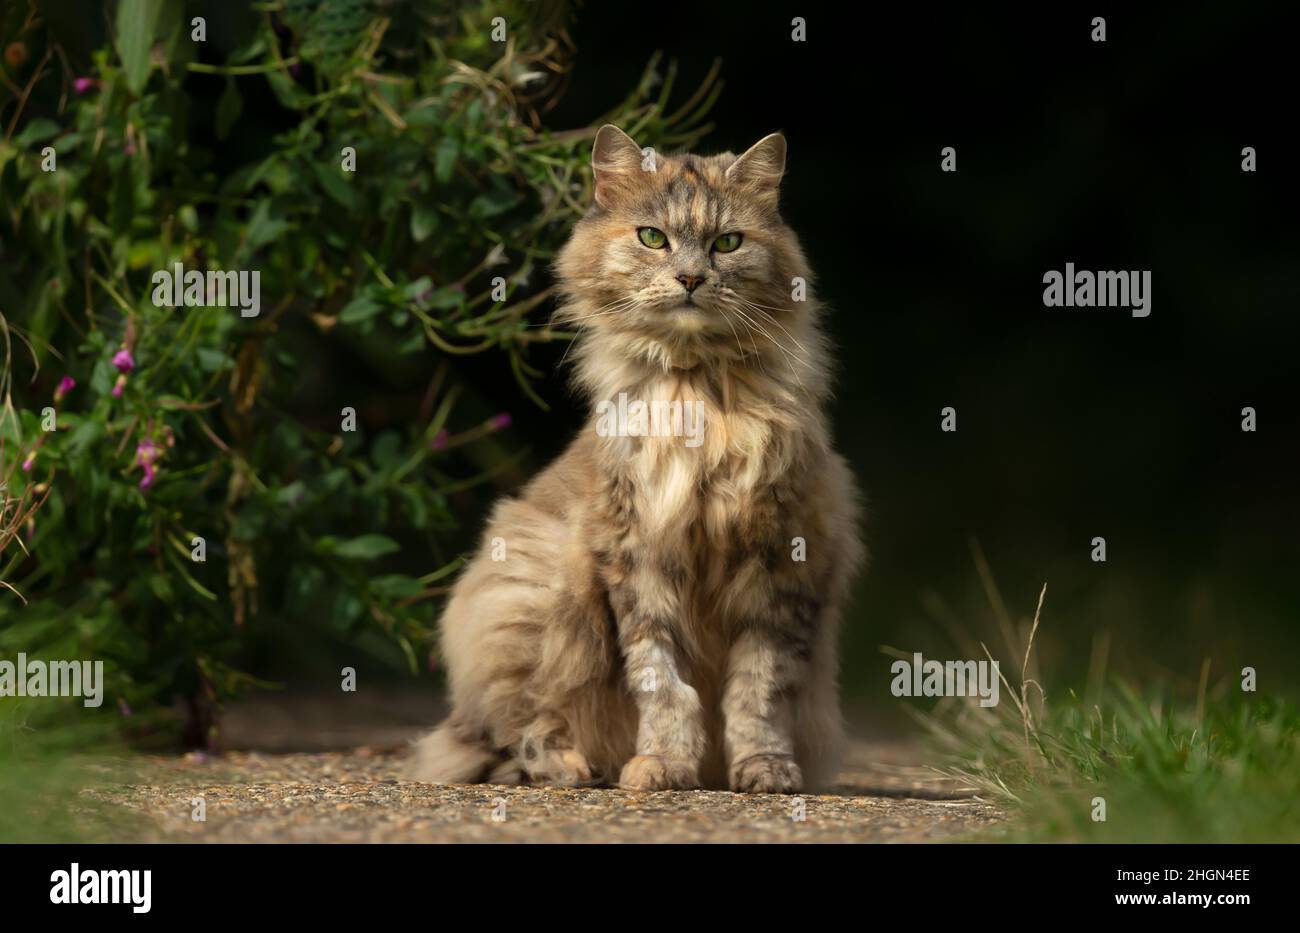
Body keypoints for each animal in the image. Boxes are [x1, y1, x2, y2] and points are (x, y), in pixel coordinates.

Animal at [410, 124, 868, 795]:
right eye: (653, 237)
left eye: (727, 243)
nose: (691, 279)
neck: (699, 392)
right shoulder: (637, 556)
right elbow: (661, 679)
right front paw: (663, 765)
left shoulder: (783, 562)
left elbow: (759, 691)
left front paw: (763, 769)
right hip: (529, 595)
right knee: (516, 732)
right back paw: (573, 768)